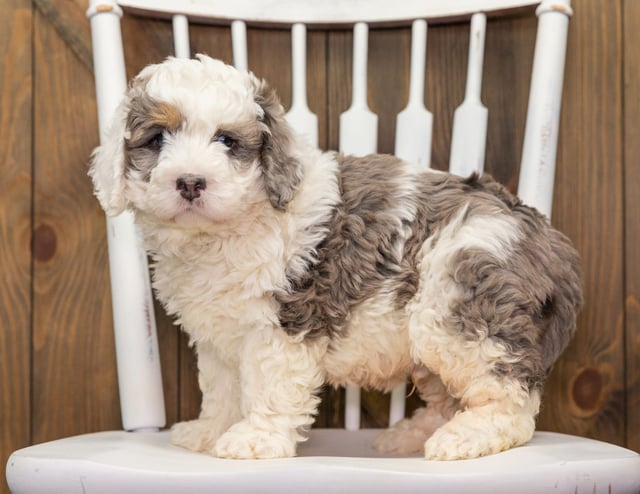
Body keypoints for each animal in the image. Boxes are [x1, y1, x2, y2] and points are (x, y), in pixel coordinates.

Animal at [87, 56, 584, 462]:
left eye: (227, 141)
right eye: (157, 138)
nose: (190, 182)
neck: (224, 232)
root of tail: (549, 237)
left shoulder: (282, 324)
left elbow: (268, 387)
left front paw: (255, 439)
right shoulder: (219, 337)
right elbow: (222, 390)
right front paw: (209, 432)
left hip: (461, 310)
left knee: (510, 399)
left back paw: (465, 437)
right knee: (449, 396)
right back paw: (411, 435)